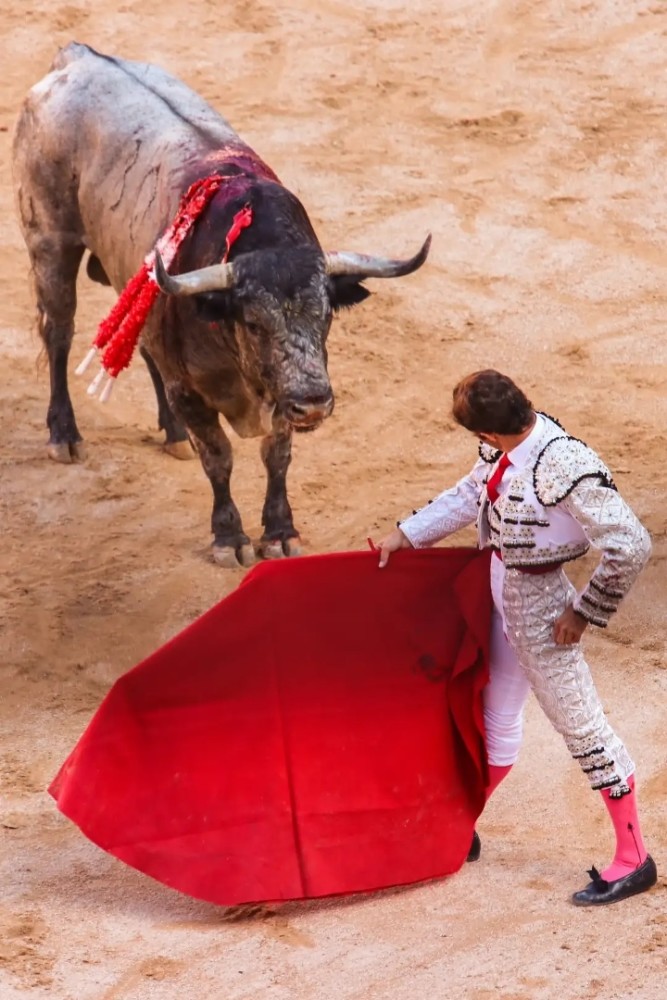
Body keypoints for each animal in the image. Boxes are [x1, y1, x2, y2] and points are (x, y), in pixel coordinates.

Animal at [13, 43, 430, 568]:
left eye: (326, 315)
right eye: (252, 323)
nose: (314, 403)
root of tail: (75, 57)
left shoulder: (280, 393)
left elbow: (277, 455)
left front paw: (280, 532)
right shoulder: (199, 392)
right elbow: (219, 456)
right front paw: (229, 539)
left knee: (142, 346)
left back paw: (172, 434)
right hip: (49, 242)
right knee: (59, 331)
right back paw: (64, 436)